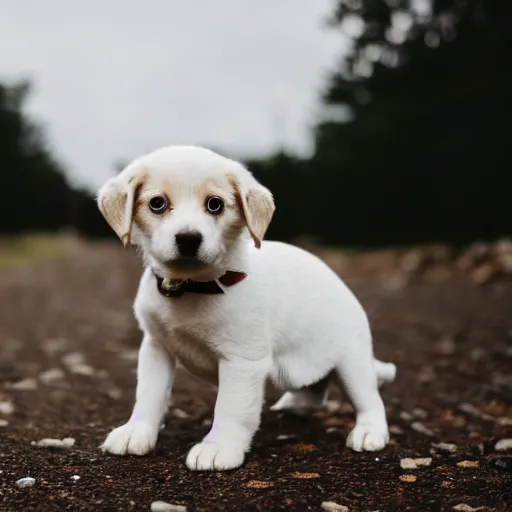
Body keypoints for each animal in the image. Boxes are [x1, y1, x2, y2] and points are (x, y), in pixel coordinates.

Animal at [98, 145, 398, 472]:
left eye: (215, 204)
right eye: (157, 203)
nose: (189, 238)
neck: (193, 286)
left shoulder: (241, 361)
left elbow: (231, 408)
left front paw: (219, 447)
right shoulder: (156, 348)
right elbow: (148, 395)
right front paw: (136, 431)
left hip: (352, 363)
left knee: (370, 400)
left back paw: (369, 431)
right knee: (315, 386)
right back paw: (296, 405)